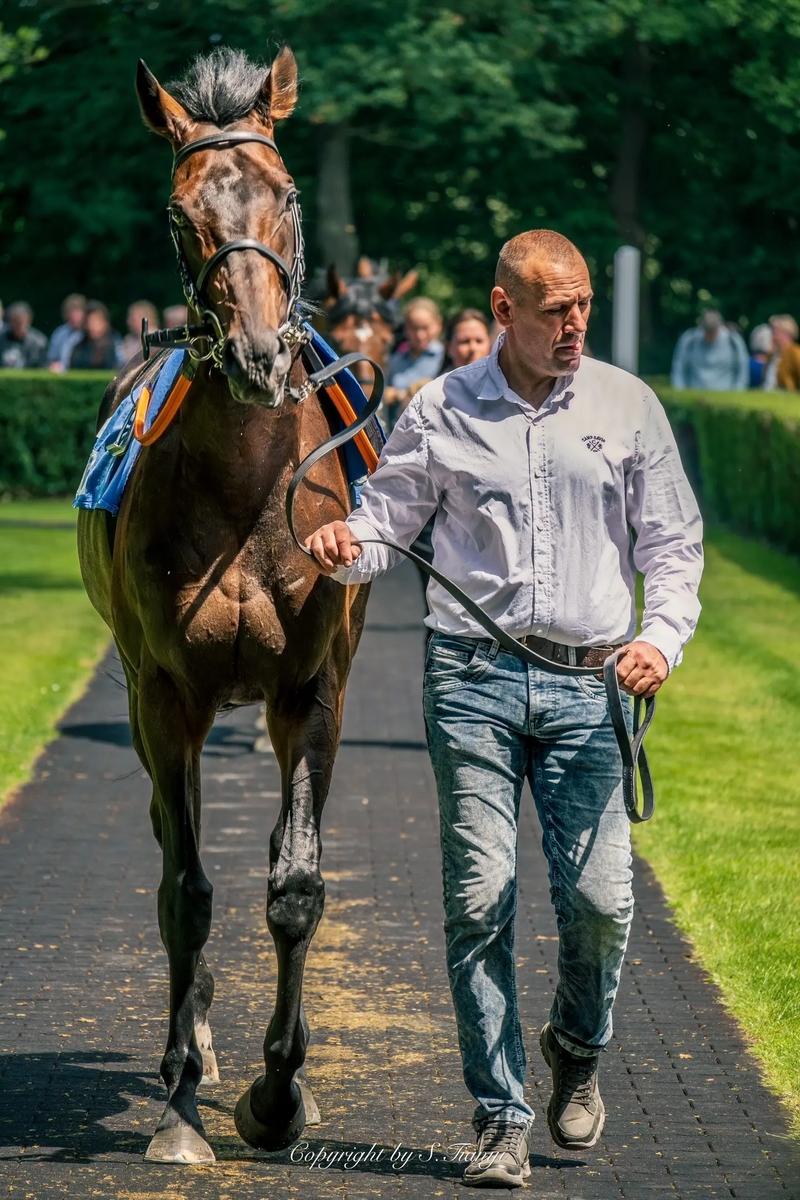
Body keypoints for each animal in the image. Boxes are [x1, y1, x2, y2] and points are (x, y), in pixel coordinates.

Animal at [77, 45, 370, 1165]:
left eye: (286, 194)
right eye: (178, 213)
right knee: (176, 849)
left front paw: (280, 1096)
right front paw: (182, 1103)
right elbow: (186, 891)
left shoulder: (311, 691)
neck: (250, 487)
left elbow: (295, 886)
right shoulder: (162, 692)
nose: (256, 356)